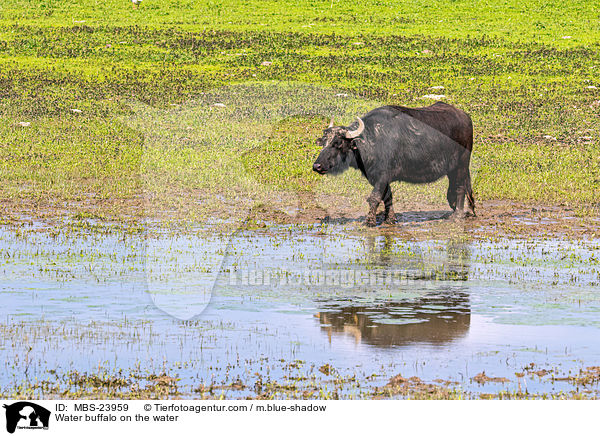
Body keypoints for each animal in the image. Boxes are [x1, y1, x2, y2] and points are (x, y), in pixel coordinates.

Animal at [312, 101, 476, 225]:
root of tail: (465, 117)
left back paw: (458, 216)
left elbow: (375, 197)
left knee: (460, 187)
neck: (371, 141)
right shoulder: (378, 178)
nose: (317, 166)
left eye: (338, 143)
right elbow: (387, 196)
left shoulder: (382, 176)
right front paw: (390, 219)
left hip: (462, 164)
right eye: (323, 142)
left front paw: (369, 221)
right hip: (452, 170)